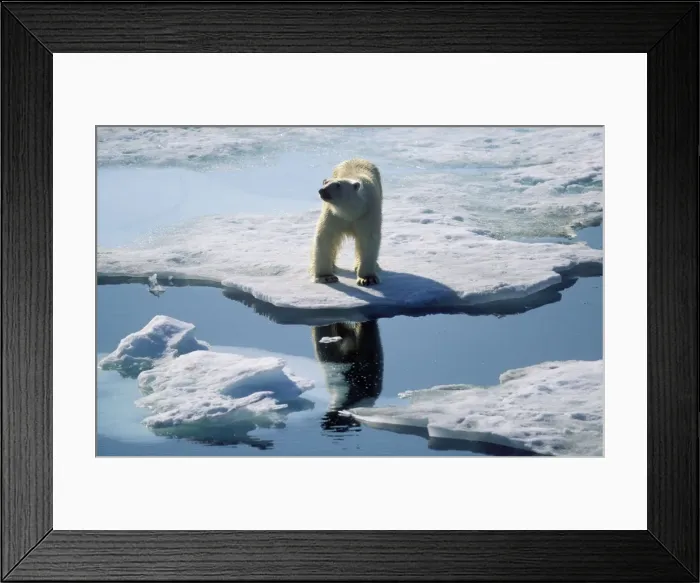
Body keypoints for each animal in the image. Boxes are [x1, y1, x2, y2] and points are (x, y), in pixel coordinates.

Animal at [310, 158, 382, 287]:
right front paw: (326, 277)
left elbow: (368, 239)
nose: (322, 190)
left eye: (338, 185)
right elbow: (326, 236)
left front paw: (367, 279)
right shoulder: (333, 215)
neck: (350, 212)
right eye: (325, 182)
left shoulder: (367, 213)